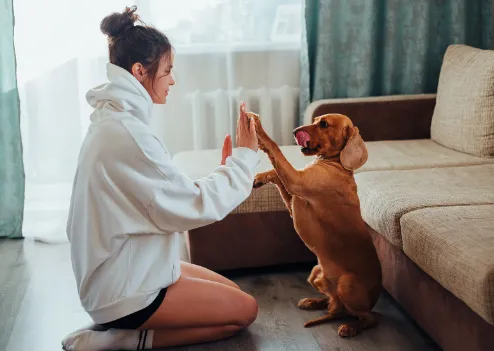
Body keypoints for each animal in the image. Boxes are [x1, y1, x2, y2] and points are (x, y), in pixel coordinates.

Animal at [251, 113, 382, 338]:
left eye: (324, 124)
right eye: (315, 119)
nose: (295, 131)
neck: (336, 164)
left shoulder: (296, 181)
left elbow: (275, 148)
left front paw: (259, 129)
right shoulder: (293, 197)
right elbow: (276, 173)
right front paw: (260, 177)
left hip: (347, 284)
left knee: (368, 318)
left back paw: (350, 328)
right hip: (315, 272)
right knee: (334, 302)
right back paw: (314, 302)